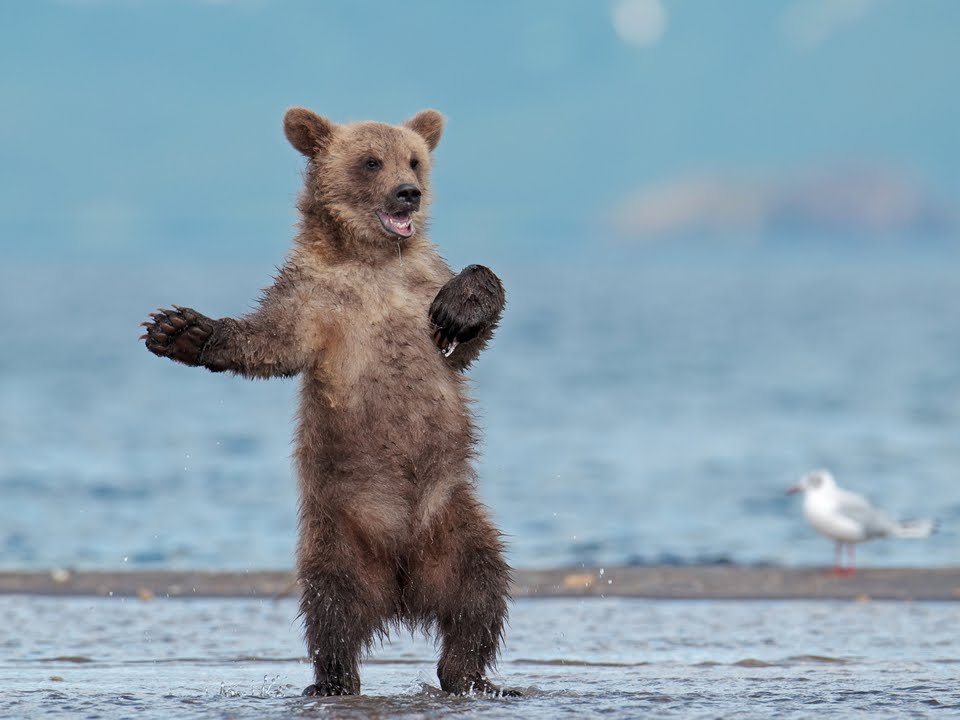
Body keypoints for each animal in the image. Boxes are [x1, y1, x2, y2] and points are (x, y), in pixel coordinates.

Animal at [141, 107, 516, 696]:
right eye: (371, 161)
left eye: (414, 159)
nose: (408, 193)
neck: (373, 260)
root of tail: (403, 584)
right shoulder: (312, 297)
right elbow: (269, 341)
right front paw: (182, 330)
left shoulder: (422, 287)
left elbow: (467, 336)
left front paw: (462, 305)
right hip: (337, 530)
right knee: (331, 604)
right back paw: (335, 679)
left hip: (454, 517)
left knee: (481, 588)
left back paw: (471, 676)